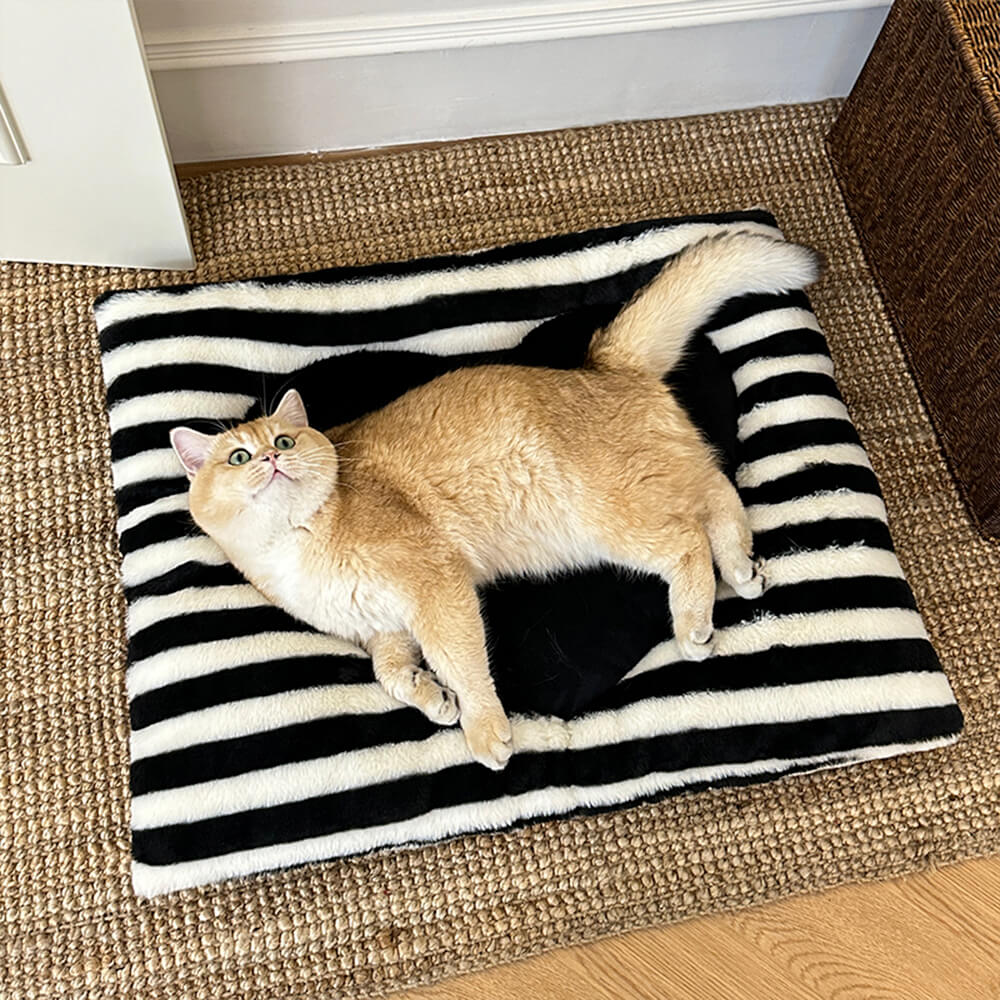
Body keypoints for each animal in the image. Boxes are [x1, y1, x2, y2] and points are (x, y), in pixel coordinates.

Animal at [168, 230, 816, 768]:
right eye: (238, 457)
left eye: (283, 440)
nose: (272, 459)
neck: (295, 544)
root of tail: (602, 365)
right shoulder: (385, 630)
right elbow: (390, 674)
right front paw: (433, 700)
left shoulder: (436, 588)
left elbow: (460, 661)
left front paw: (483, 728)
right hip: (649, 485)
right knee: (716, 490)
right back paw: (741, 568)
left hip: (605, 514)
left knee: (687, 537)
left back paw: (695, 623)